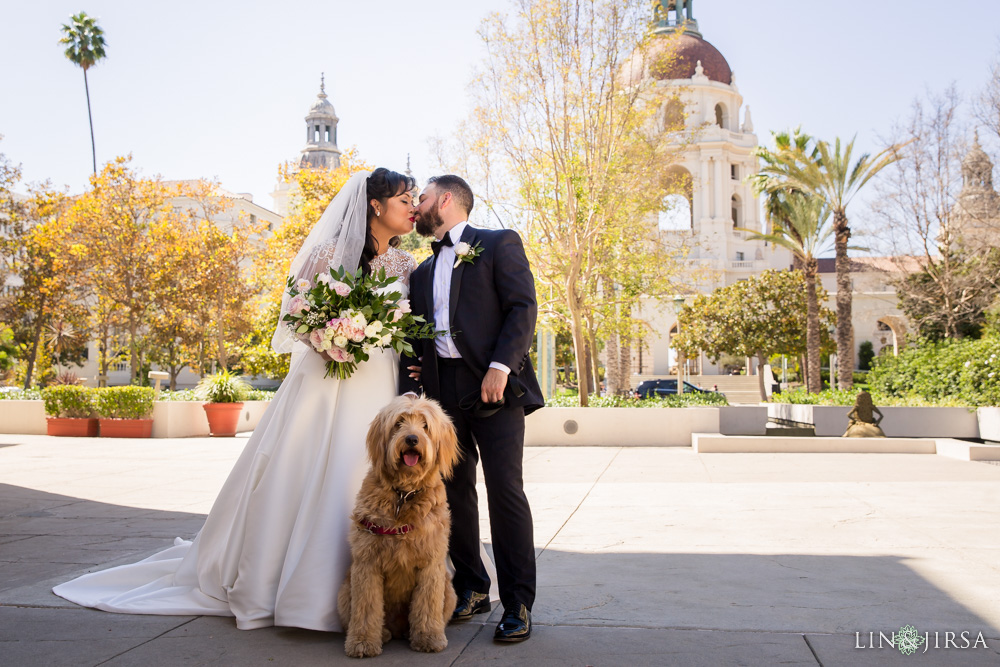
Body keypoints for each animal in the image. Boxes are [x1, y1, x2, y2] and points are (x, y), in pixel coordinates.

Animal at [336, 394, 460, 660]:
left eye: (425, 425)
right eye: (399, 423)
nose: (412, 438)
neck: (404, 494)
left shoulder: (430, 564)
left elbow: (427, 604)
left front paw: (429, 638)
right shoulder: (367, 563)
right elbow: (366, 607)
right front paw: (362, 642)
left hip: (449, 592)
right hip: (344, 592)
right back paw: (382, 633)